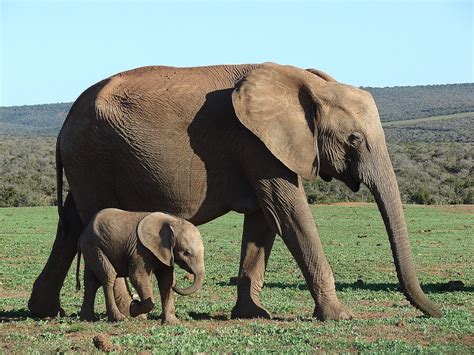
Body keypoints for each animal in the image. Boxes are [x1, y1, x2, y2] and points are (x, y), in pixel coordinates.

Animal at [75, 210, 205, 324]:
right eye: (186, 253)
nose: (176, 285)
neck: (172, 221)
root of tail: (84, 232)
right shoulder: (140, 250)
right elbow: (138, 277)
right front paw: (133, 307)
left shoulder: (165, 253)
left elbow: (166, 280)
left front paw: (172, 323)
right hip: (94, 246)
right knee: (108, 276)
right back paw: (118, 318)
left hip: (91, 249)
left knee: (91, 282)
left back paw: (87, 319)